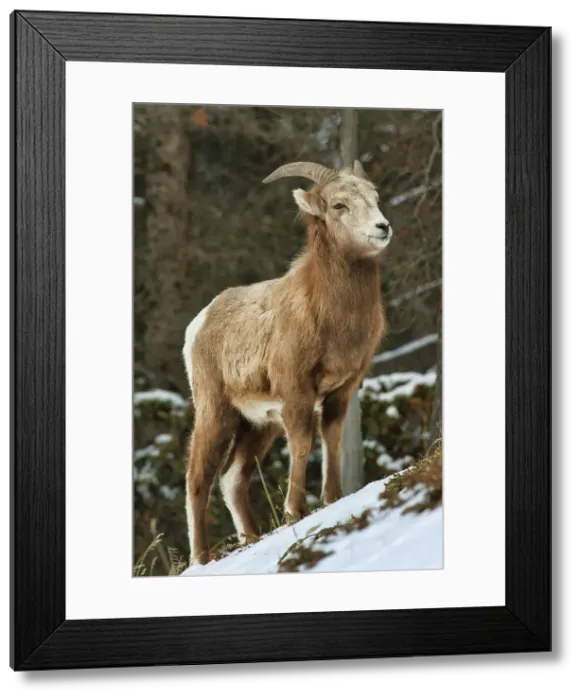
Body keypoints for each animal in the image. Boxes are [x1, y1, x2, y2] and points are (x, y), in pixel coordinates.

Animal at [182, 159, 393, 565]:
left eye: (374, 197)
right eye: (339, 205)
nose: (382, 227)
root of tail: (198, 325)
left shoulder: (342, 389)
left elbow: (331, 439)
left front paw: (332, 498)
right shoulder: (297, 391)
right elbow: (302, 443)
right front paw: (295, 511)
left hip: (258, 426)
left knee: (233, 478)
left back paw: (251, 538)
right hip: (217, 414)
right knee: (199, 477)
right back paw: (202, 558)